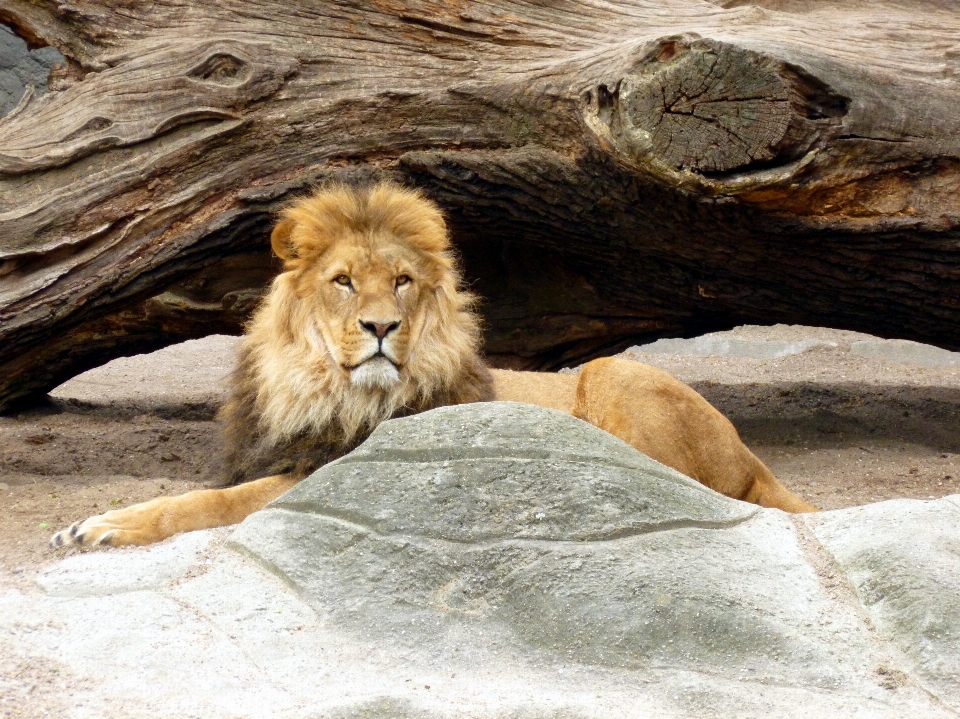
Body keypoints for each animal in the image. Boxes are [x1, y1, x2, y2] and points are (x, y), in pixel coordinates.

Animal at [52, 183, 812, 548]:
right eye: (343, 282)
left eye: (402, 282)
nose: (381, 328)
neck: (322, 386)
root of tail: (751, 455)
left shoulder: (326, 474)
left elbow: (208, 503)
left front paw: (104, 525)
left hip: (612, 372)